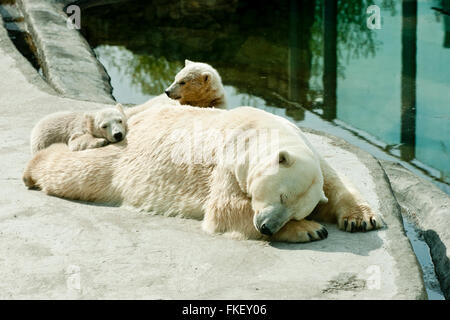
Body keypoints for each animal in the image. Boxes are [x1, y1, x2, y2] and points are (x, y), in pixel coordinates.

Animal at [21, 105, 380, 242]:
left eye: (295, 208)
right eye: (281, 195)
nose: (266, 227)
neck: (259, 132)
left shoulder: (313, 155)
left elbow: (337, 182)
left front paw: (362, 218)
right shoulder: (228, 162)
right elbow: (225, 210)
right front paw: (312, 230)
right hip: (121, 153)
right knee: (79, 172)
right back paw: (33, 170)